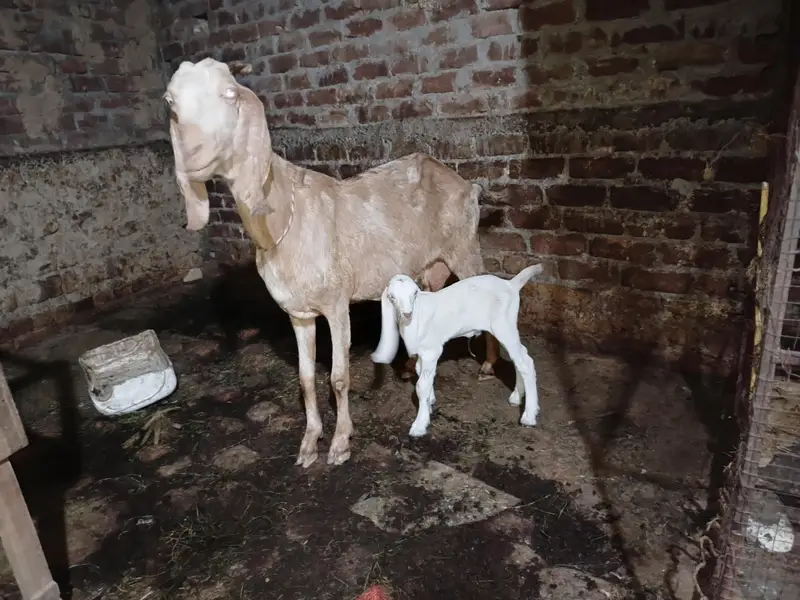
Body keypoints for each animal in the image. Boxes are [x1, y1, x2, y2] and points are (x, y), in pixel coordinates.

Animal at [164, 58, 500, 468]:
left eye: (229, 93)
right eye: (170, 101)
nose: (194, 158)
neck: (283, 219)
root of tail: (469, 185)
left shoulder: (337, 303)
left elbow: (338, 378)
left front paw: (340, 443)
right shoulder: (298, 313)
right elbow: (305, 379)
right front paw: (309, 443)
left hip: (464, 248)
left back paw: (487, 366)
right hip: (426, 267)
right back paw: (412, 367)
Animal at [371, 264, 544, 437]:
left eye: (414, 293)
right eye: (392, 297)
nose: (407, 313)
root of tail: (510, 284)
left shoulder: (431, 350)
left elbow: (421, 386)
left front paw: (420, 425)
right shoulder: (422, 353)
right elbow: (422, 373)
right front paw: (430, 401)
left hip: (503, 325)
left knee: (525, 362)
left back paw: (529, 416)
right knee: (519, 358)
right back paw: (517, 396)